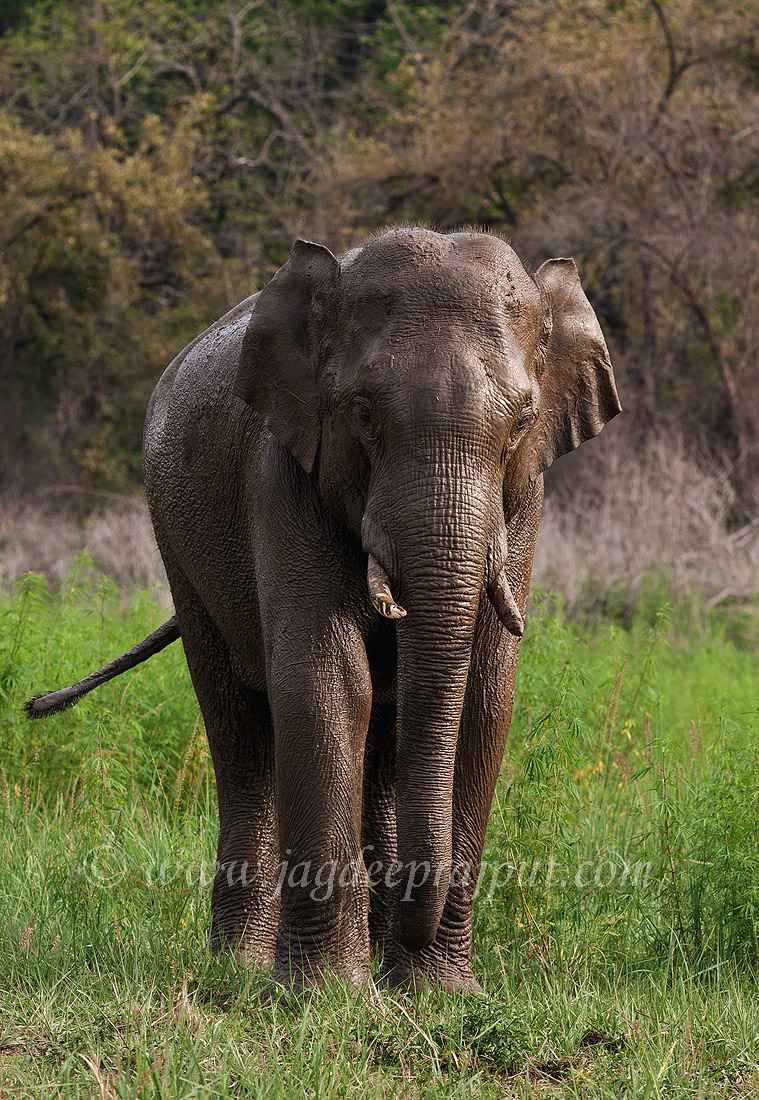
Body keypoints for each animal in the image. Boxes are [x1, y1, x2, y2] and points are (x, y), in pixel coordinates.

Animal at [27, 227, 620, 995]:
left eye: (521, 422)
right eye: (362, 413)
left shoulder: (524, 500)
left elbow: (483, 694)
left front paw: (437, 995)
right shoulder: (281, 472)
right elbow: (329, 680)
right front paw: (330, 996)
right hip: (175, 540)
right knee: (239, 728)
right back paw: (242, 969)